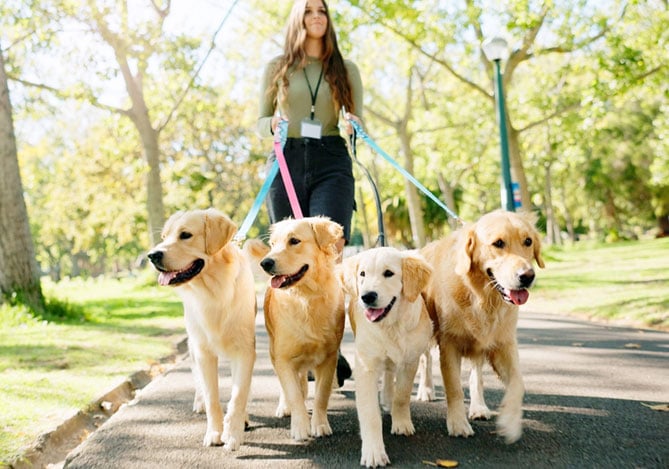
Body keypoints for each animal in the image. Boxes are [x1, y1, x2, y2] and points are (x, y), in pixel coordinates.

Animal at [147, 209, 254, 450]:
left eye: (185, 235)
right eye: (164, 236)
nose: (152, 255)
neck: (214, 292)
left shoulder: (244, 350)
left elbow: (239, 395)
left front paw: (233, 433)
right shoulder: (204, 352)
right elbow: (212, 396)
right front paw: (215, 432)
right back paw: (199, 402)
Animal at [252, 215, 344, 438]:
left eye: (294, 241)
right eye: (273, 244)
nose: (265, 263)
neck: (306, 298)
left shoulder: (329, 358)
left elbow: (321, 395)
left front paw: (320, 424)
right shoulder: (283, 357)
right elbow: (292, 392)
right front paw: (300, 426)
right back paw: (285, 407)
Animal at [340, 247, 434, 466]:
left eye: (389, 273)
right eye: (362, 274)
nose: (367, 297)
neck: (392, 326)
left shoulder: (409, 361)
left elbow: (402, 395)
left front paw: (401, 422)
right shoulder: (366, 366)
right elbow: (370, 413)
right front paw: (374, 452)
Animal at [422, 208, 544, 442]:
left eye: (528, 241)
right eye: (498, 243)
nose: (527, 276)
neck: (482, 297)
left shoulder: (503, 343)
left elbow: (518, 383)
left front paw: (510, 421)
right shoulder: (449, 344)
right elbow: (454, 388)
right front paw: (458, 423)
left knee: (476, 375)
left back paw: (478, 407)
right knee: (425, 360)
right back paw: (426, 390)